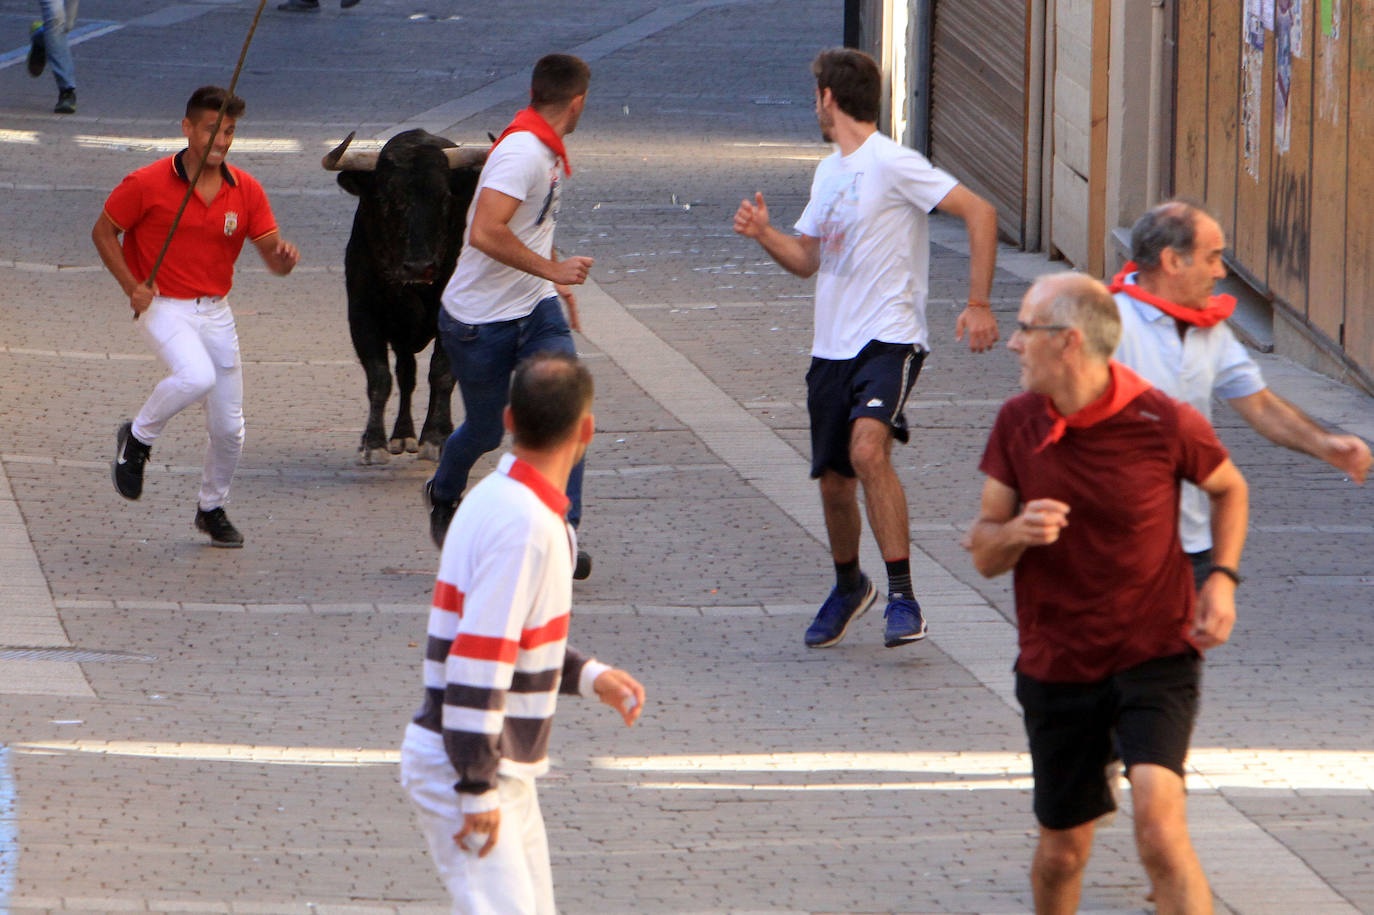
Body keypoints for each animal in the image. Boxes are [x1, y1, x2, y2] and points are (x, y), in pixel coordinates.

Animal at [322, 128, 489, 464]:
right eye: (385, 198)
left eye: (444, 198)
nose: (419, 266)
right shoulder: (362, 315)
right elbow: (380, 377)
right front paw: (374, 442)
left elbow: (441, 374)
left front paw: (436, 438)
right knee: (406, 374)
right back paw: (402, 434)